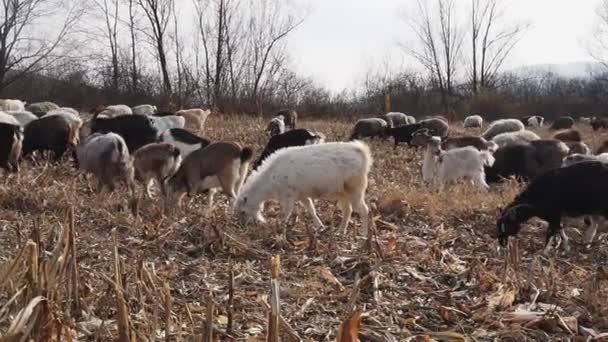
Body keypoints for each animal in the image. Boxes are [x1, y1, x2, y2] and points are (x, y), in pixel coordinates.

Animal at [235, 140, 372, 235]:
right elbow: (311, 209)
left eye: (243, 212)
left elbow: (285, 213)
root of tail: (361, 151)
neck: (269, 179)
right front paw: (320, 226)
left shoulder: (288, 197)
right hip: (342, 193)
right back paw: (340, 231)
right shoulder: (302, 196)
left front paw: (279, 228)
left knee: (364, 210)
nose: (244, 226)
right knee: (347, 210)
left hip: (355, 190)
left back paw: (364, 234)